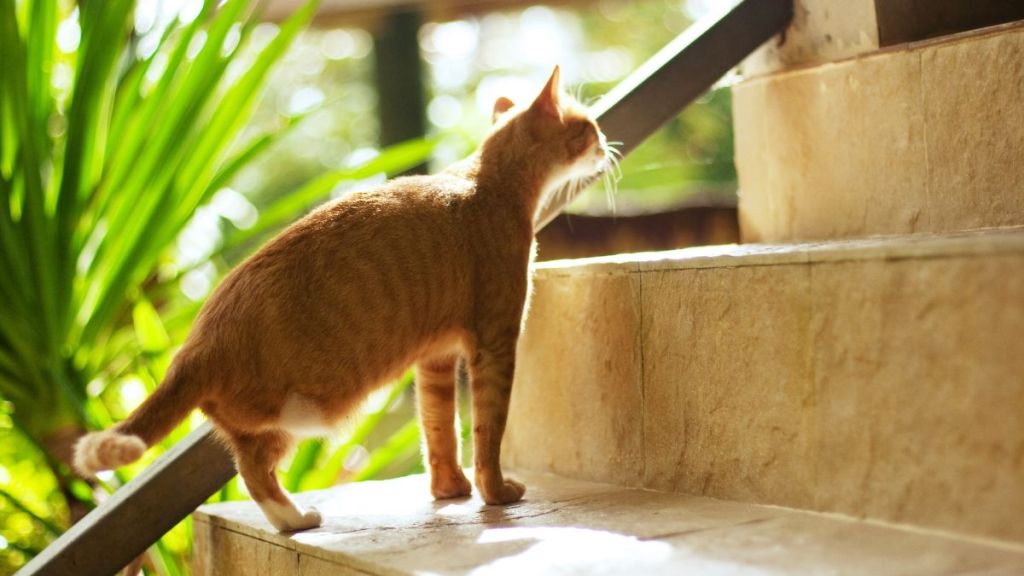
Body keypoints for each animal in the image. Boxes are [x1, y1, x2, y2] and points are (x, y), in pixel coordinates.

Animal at [75, 67, 610, 528]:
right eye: (588, 126)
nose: (607, 144)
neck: (488, 182)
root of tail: (196, 344)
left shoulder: (435, 360)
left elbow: (438, 430)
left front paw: (450, 490)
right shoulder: (495, 344)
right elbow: (487, 429)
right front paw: (495, 493)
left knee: (249, 464)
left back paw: (291, 520)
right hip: (300, 414)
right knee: (255, 471)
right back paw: (297, 519)